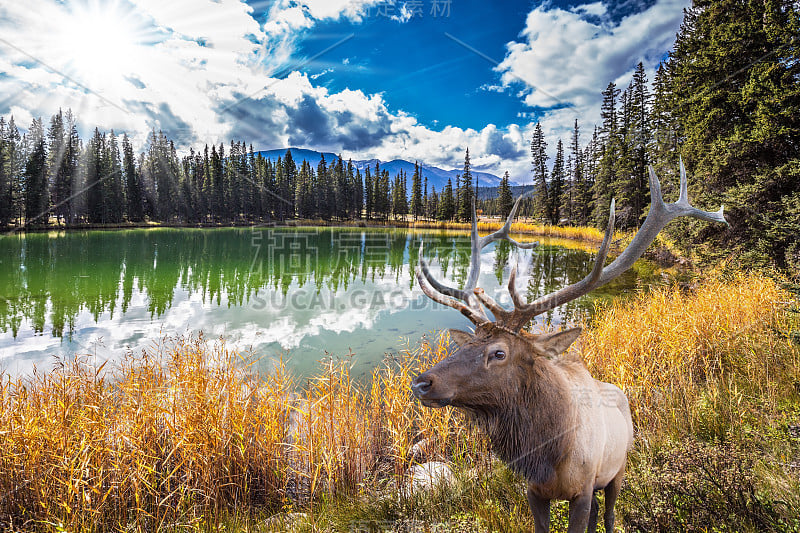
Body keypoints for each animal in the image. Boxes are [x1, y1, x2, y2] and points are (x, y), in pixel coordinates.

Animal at [410, 162, 728, 532]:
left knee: (608, 514)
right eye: (469, 342)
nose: (421, 382)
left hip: (618, 469)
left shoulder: (584, 488)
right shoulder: (534, 491)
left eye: (499, 353)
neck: (550, 456)